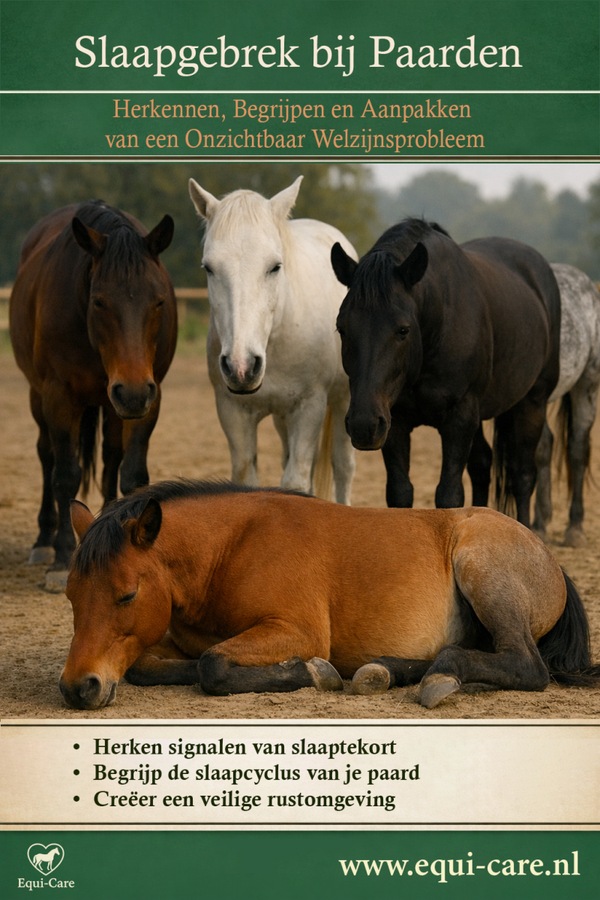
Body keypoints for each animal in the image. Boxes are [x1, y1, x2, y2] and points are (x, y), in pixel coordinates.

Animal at [9, 200, 177, 591]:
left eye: (159, 301)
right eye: (99, 302)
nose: (132, 391)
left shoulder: (149, 397)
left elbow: (131, 474)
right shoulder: (58, 397)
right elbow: (66, 475)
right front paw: (61, 558)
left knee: (110, 459)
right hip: (43, 397)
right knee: (47, 456)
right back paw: (43, 541)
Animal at [59, 479, 600, 712]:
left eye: (127, 595)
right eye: (70, 598)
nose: (77, 688)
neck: (232, 547)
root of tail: (546, 554)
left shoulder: (296, 631)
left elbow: (213, 666)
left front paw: (315, 674)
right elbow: (148, 665)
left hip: (480, 570)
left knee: (526, 666)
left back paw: (440, 678)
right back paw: (384, 671)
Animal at [188, 176, 356, 503]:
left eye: (275, 266)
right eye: (209, 268)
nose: (241, 367)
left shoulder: (309, 407)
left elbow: (296, 481)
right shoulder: (232, 410)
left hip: (342, 401)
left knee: (343, 467)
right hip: (282, 417)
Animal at [331, 219, 561, 526]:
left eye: (403, 330)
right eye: (342, 328)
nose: (363, 425)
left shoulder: (459, 418)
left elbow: (449, 494)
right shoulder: (395, 422)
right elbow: (400, 491)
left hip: (532, 402)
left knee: (522, 475)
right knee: (482, 466)